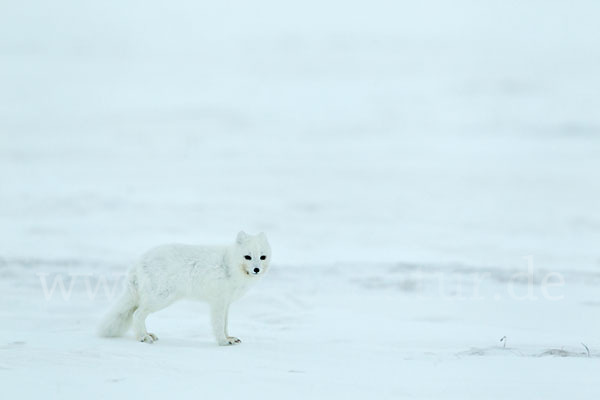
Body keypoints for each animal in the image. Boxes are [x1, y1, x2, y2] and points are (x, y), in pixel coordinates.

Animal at [97, 233, 270, 346]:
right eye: (247, 256)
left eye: (262, 257)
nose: (256, 269)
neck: (229, 264)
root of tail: (139, 261)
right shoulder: (218, 302)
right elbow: (218, 324)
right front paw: (222, 341)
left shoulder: (226, 303)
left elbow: (225, 324)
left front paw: (229, 338)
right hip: (160, 299)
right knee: (137, 314)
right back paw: (143, 337)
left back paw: (147, 334)